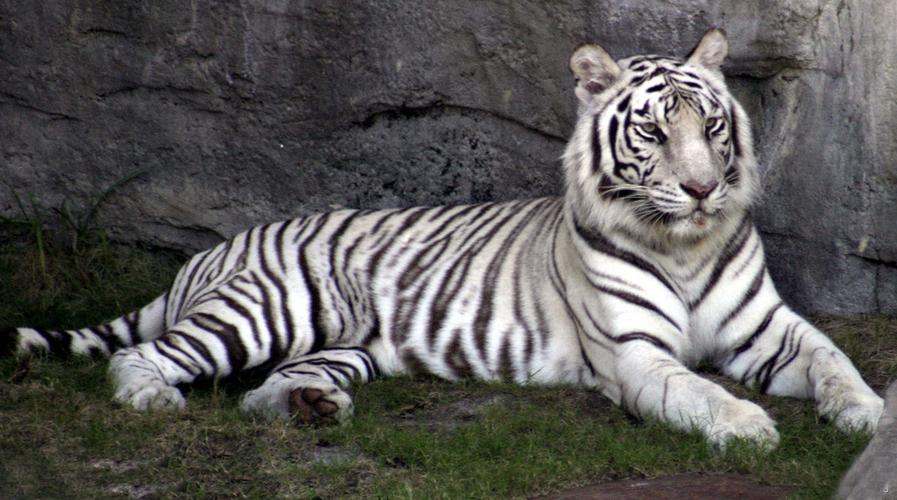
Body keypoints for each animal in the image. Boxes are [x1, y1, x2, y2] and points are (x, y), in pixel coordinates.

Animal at [2, 29, 883, 449]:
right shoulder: (634, 353)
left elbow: (835, 362)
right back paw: (155, 396)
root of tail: (210, 251)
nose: (702, 189)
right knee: (139, 355)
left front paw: (873, 419)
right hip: (268, 310)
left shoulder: (770, 329)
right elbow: (695, 389)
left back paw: (311, 408)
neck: (685, 244)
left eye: (711, 127)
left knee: (261, 388)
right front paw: (746, 426)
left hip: (341, 344)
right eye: (654, 135)